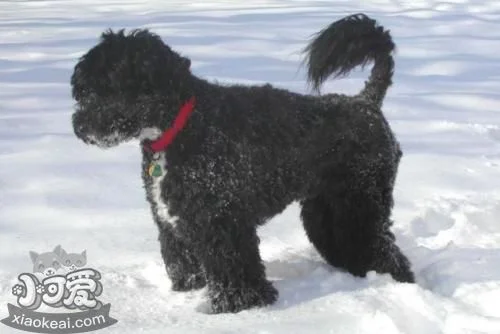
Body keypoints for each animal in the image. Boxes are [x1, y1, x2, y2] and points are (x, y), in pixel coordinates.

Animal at [70, 13, 414, 314]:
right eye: (84, 89)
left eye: (111, 83)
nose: (80, 126)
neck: (182, 125)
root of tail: (367, 102)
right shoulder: (173, 222)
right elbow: (184, 263)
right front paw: (189, 292)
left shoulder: (222, 223)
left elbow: (234, 271)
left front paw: (239, 306)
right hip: (327, 208)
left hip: (361, 204)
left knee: (384, 249)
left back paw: (396, 281)